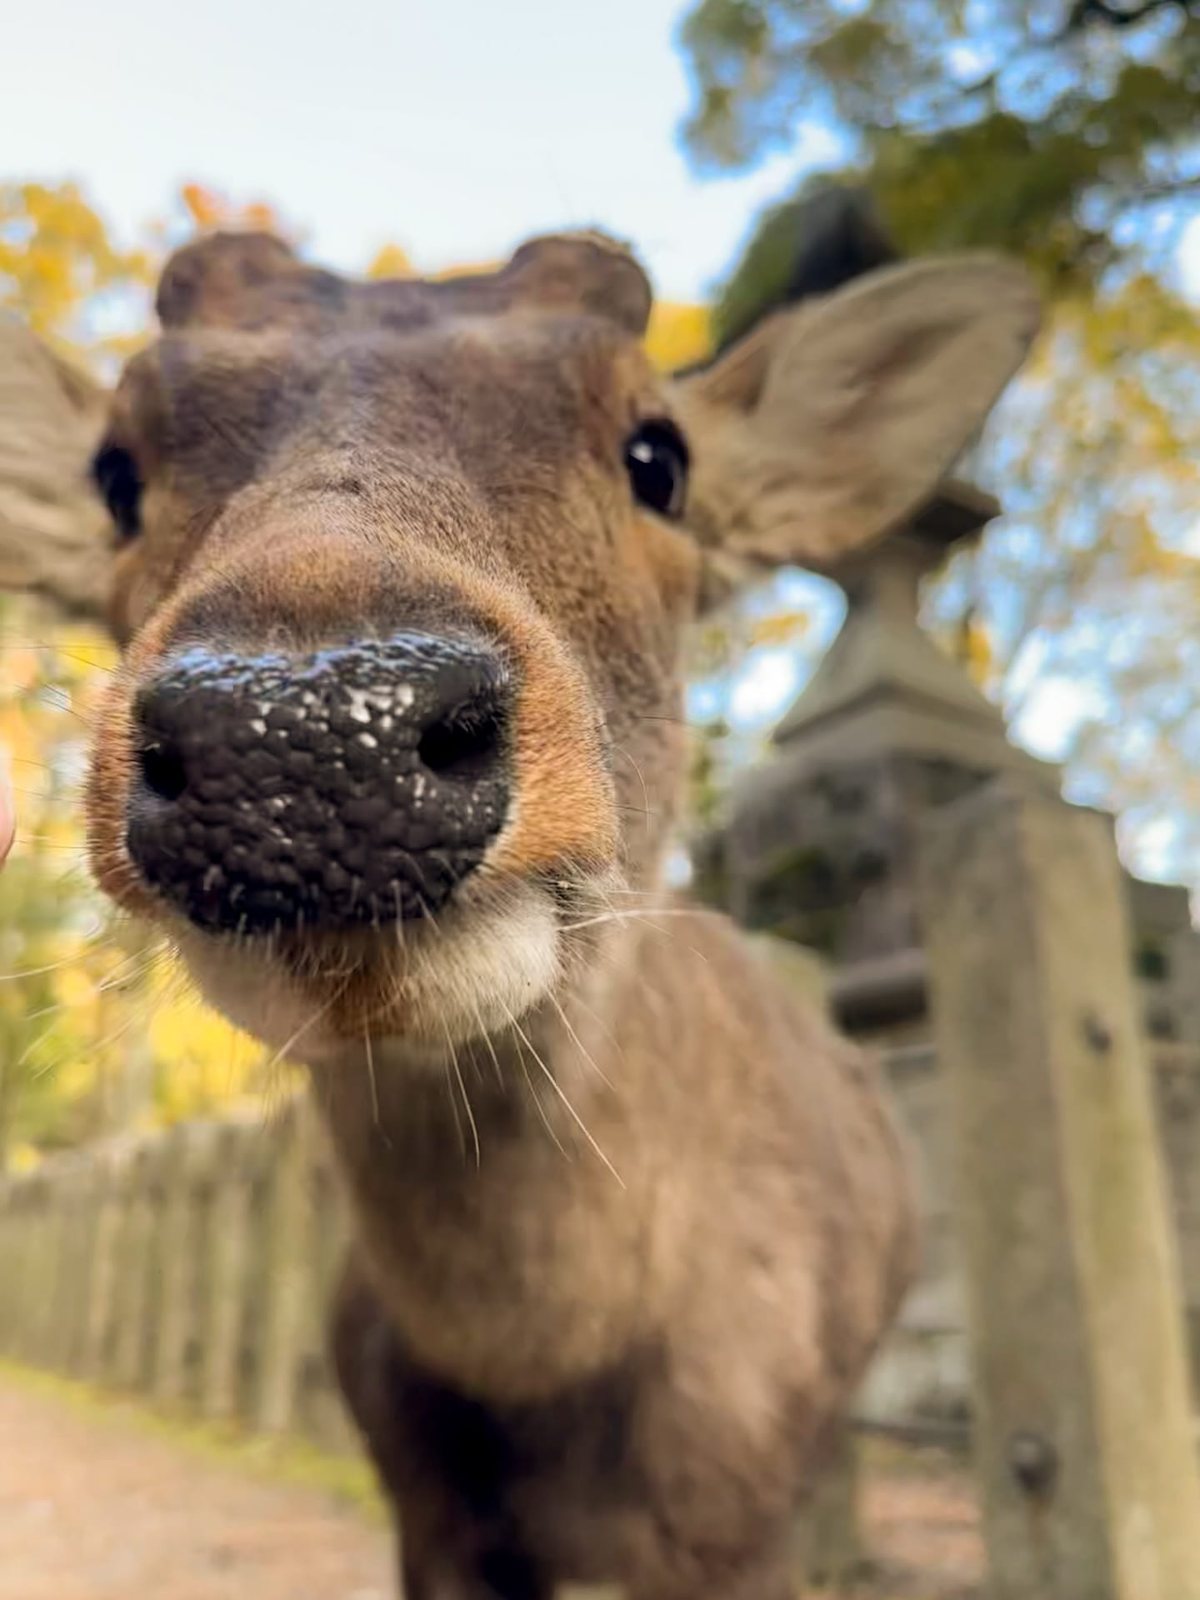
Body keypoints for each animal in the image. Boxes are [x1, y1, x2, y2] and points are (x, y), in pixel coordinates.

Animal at [0, 214, 1038, 1599]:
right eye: (117, 471)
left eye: (658, 452)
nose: (307, 734)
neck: (549, 1377)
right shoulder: (423, 1510)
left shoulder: (737, 1514)